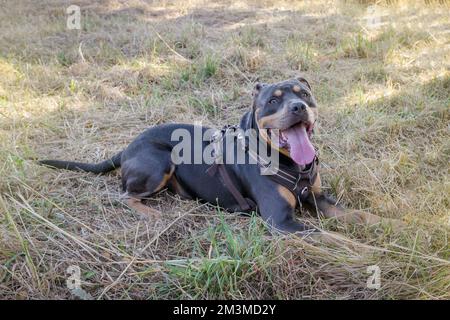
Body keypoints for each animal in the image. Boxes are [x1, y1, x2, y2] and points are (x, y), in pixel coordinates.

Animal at [39, 76, 404, 234]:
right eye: (274, 100)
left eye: (305, 94)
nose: (299, 107)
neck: (289, 163)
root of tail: (128, 146)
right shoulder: (283, 221)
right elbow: (338, 238)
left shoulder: (320, 199)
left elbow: (361, 217)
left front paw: (399, 227)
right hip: (159, 164)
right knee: (124, 195)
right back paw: (151, 213)